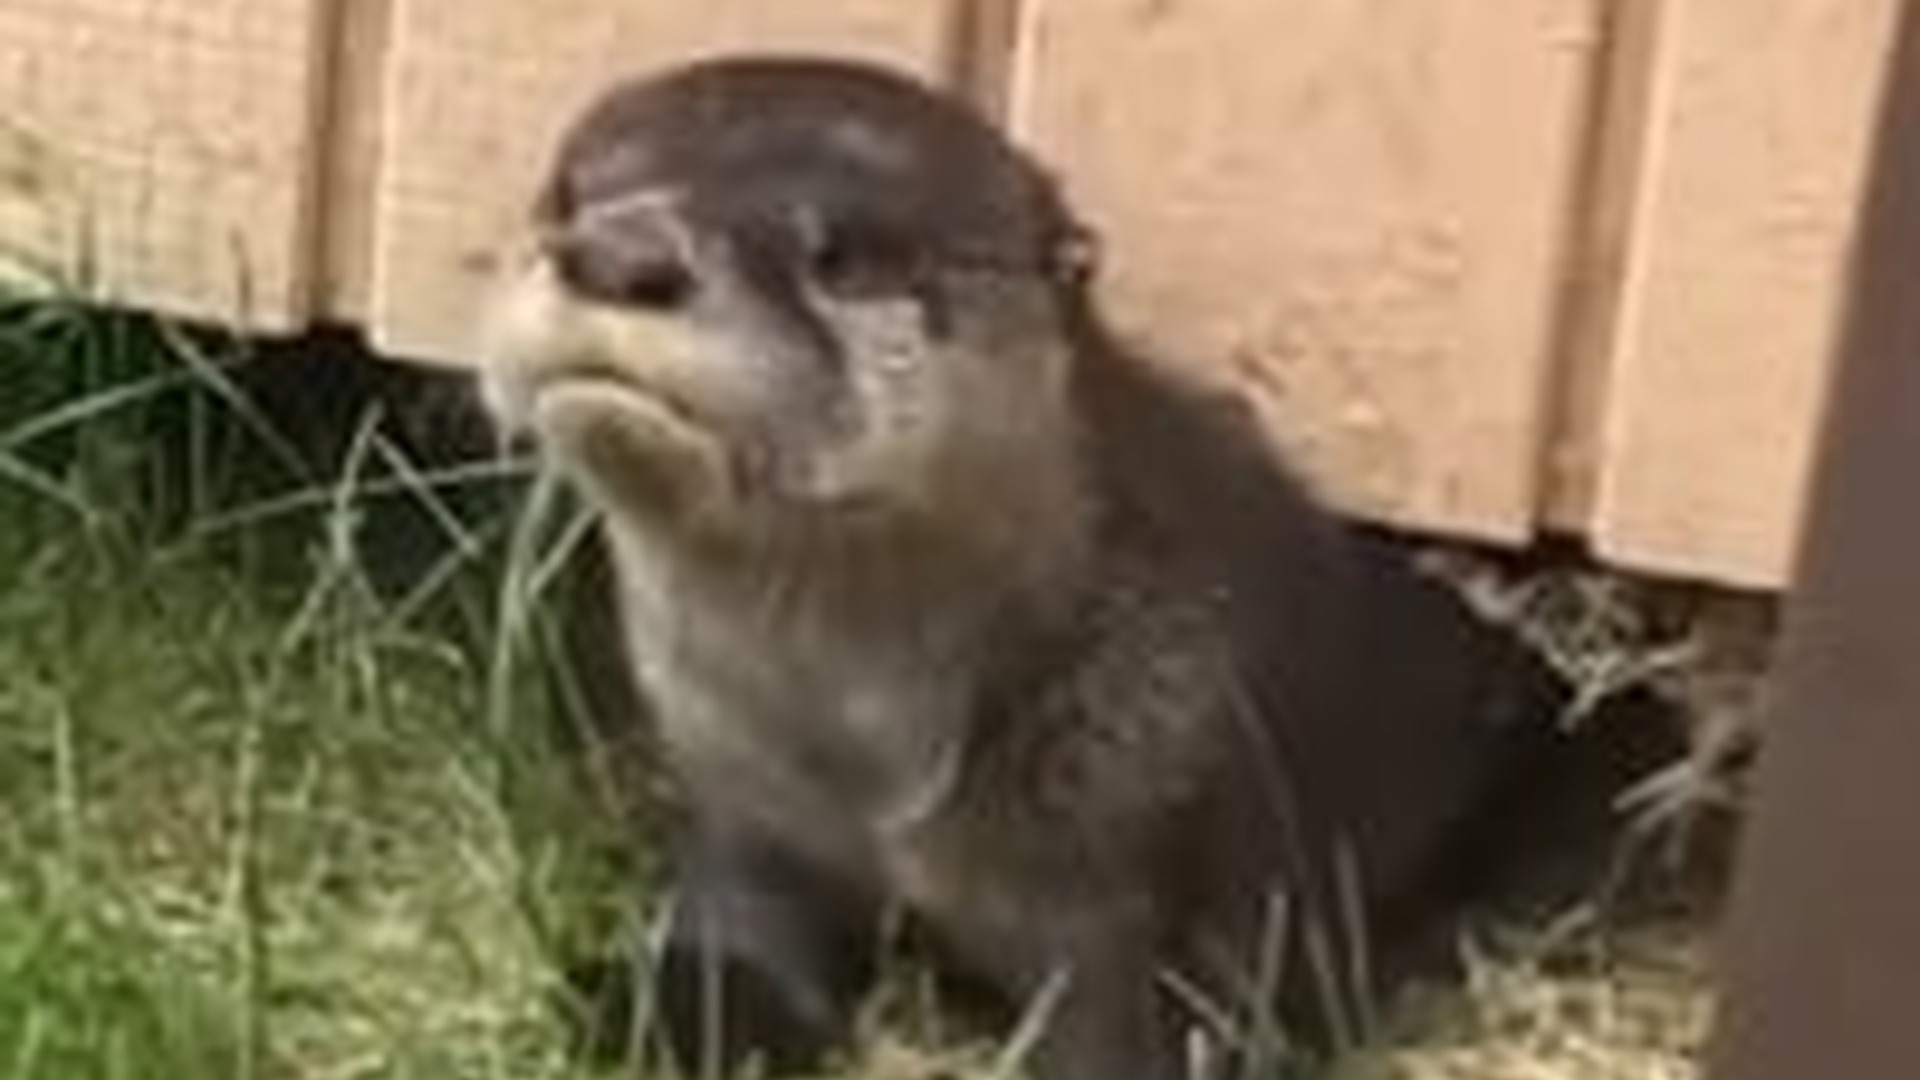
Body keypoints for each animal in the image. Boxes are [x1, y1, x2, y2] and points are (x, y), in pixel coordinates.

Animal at [477, 55, 1574, 1080]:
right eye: (564, 195)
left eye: (842, 255)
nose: (615, 253)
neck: (872, 754)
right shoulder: (749, 810)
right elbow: (736, 951)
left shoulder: (1151, 856)